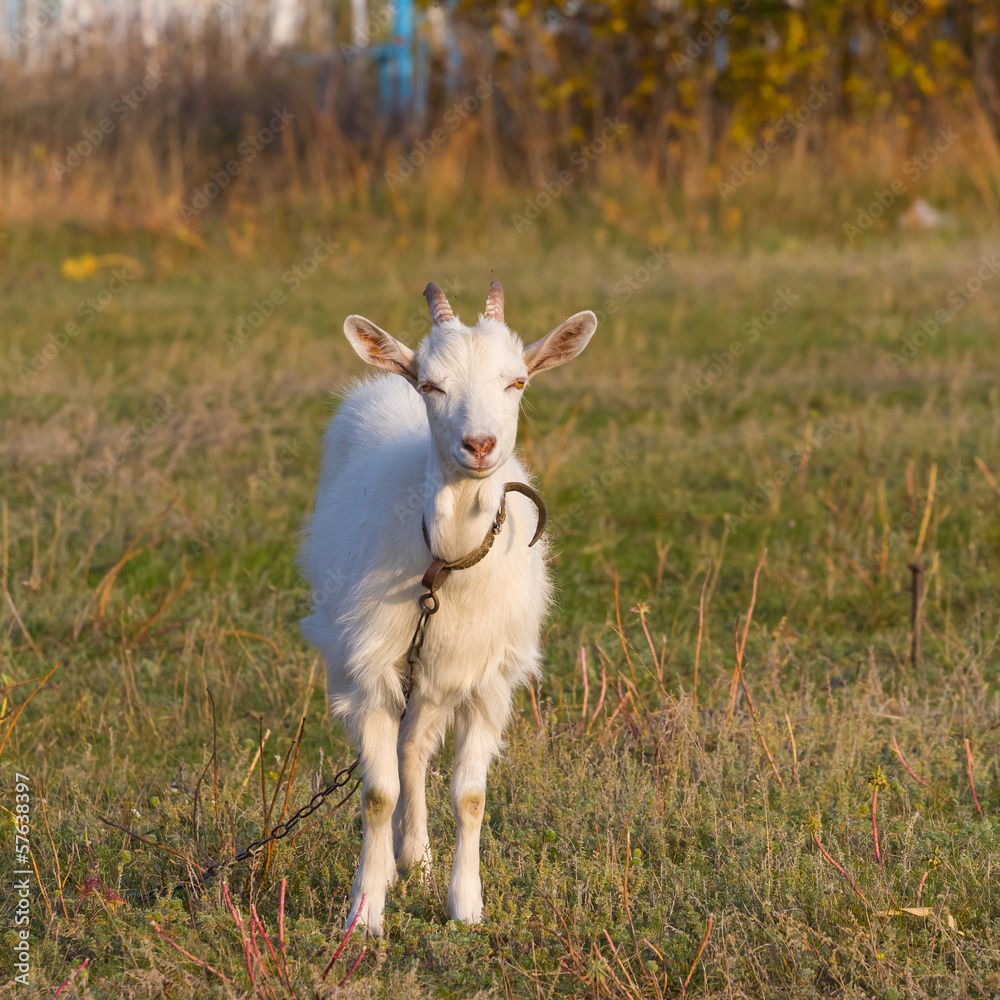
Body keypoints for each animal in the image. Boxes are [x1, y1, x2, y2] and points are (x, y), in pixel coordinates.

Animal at [300, 280, 597, 935]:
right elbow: (376, 794)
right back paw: (399, 862)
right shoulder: (371, 667)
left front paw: (465, 905)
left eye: (517, 381)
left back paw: (418, 858)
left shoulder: (486, 679)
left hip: (437, 675)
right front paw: (365, 911)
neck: (448, 559)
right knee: (397, 756)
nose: (479, 445)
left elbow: (471, 795)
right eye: (431, 385)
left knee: (413, 748)